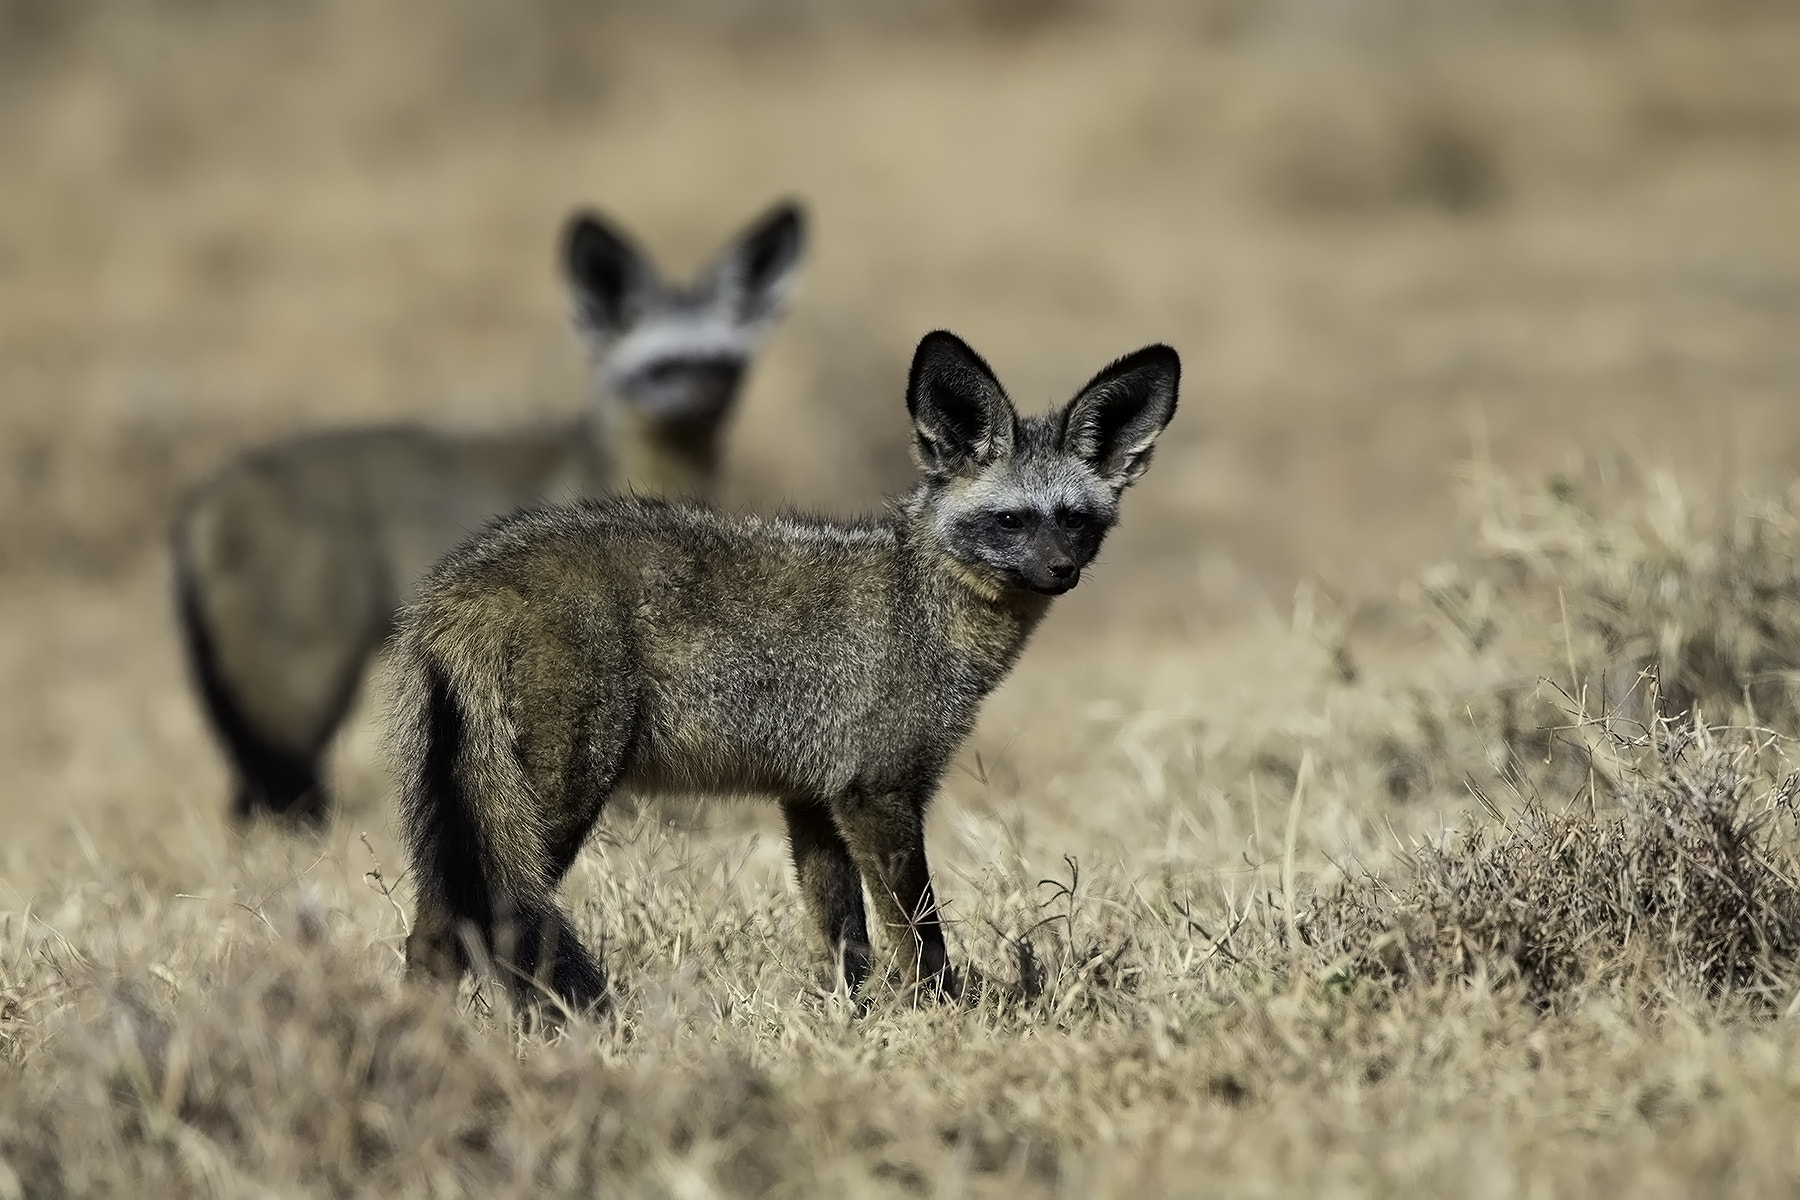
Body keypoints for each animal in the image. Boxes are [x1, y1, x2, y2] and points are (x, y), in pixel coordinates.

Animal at [175, 201, 810, 831]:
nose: (702, 403)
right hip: (302, 676)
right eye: (662, 366)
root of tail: (213, 488)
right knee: (277, 783)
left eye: (722, 365)